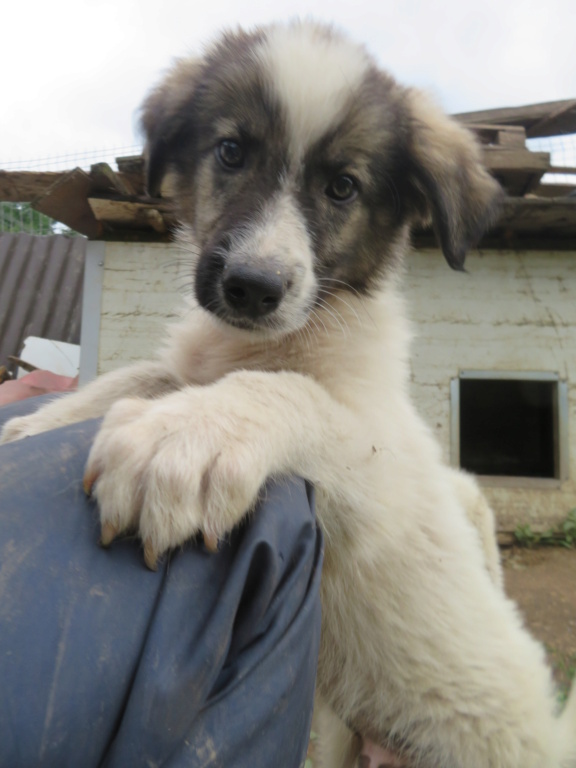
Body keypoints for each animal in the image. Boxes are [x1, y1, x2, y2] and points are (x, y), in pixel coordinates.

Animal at [2, 21, 572, 764]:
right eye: (232, 152)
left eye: (343, 187)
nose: (251, 286)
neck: (276, 337)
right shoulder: (193, 362)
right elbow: (144, 374)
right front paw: (40, 423)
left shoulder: (377, 465)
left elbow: (289, 393)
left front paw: (179, 439)